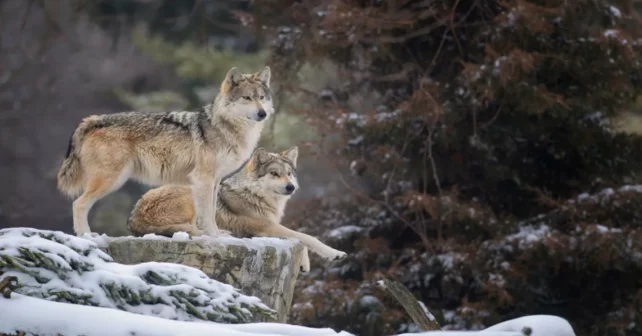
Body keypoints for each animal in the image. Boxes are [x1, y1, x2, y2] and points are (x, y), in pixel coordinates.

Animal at [57, 67, 272, 238]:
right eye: (247, 98)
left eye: (261, 98)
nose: (263, 113)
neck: (226, 127)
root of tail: (93, 119)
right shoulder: (203, 179)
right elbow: (206, 215)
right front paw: (213, 236)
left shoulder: (215, 180)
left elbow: (211, 211)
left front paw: (218, 234)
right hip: (111, 180)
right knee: (78, 204)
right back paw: (86, 235)